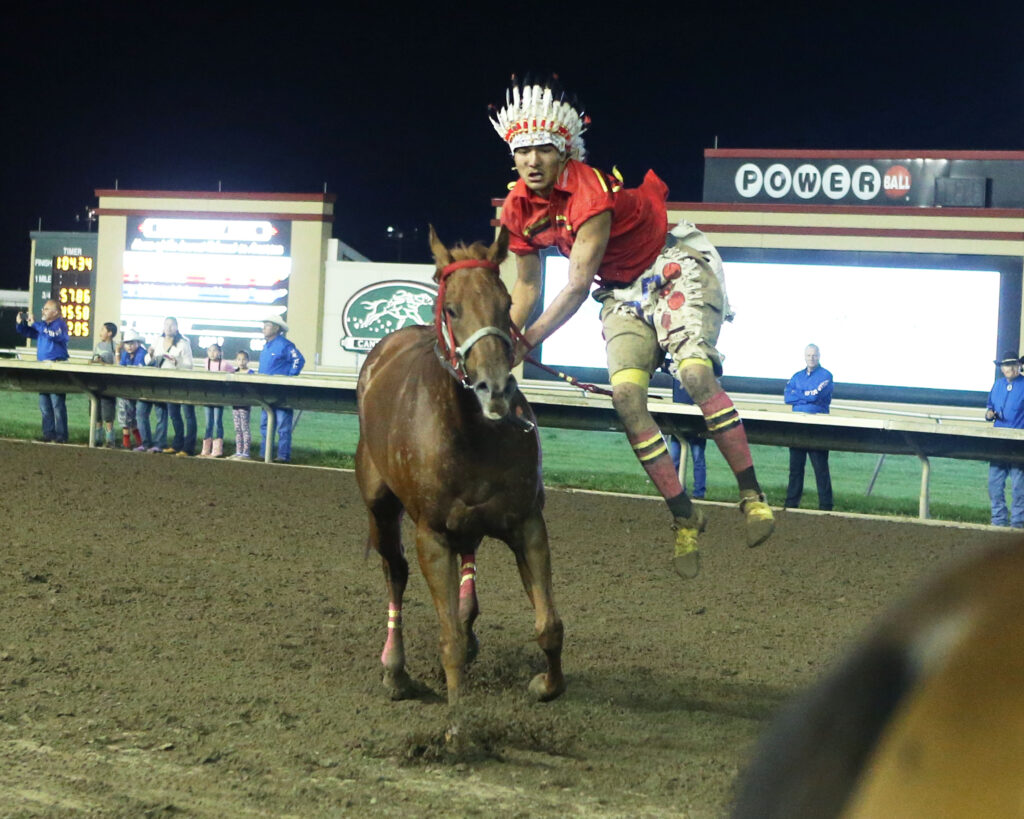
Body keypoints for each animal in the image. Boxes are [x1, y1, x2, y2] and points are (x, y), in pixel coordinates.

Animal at [354, 224, 565, 704]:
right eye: (452, 309)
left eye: (506, 304)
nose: (496, 388)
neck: (472, 433)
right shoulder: (431, 535)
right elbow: (446, 636)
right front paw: (457, 717)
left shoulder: (527, 522)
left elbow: (549, 625)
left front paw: (546, 685)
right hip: (379, 504)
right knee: (395, 572)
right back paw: (395, 669)